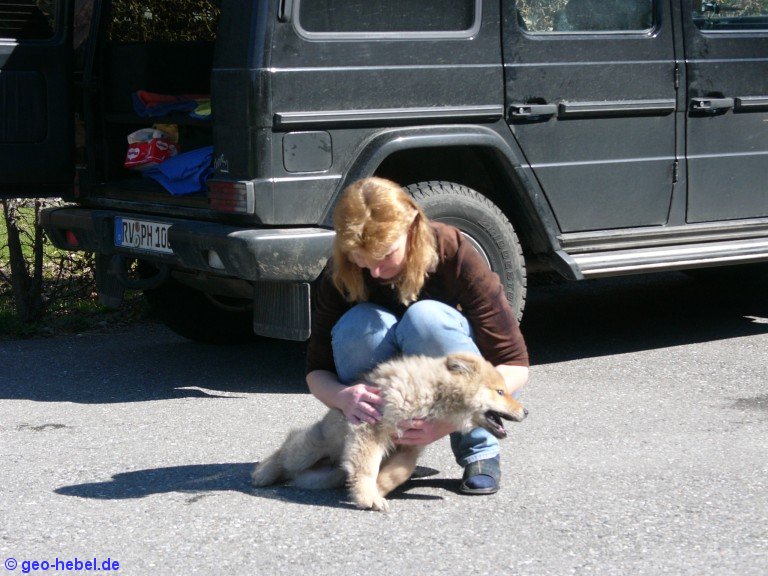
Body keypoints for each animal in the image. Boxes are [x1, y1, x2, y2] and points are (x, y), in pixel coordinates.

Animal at [251, 352, 527, 512]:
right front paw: (368, 496)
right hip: (313, 446)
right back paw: (263, 473)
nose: (525, 412)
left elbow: (399, 472)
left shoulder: (411, 444)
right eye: (500, 392)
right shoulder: (370, 429)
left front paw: (379, 488)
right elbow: (367, 467)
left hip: (326, 475)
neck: (433, 393)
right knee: (287, 449)